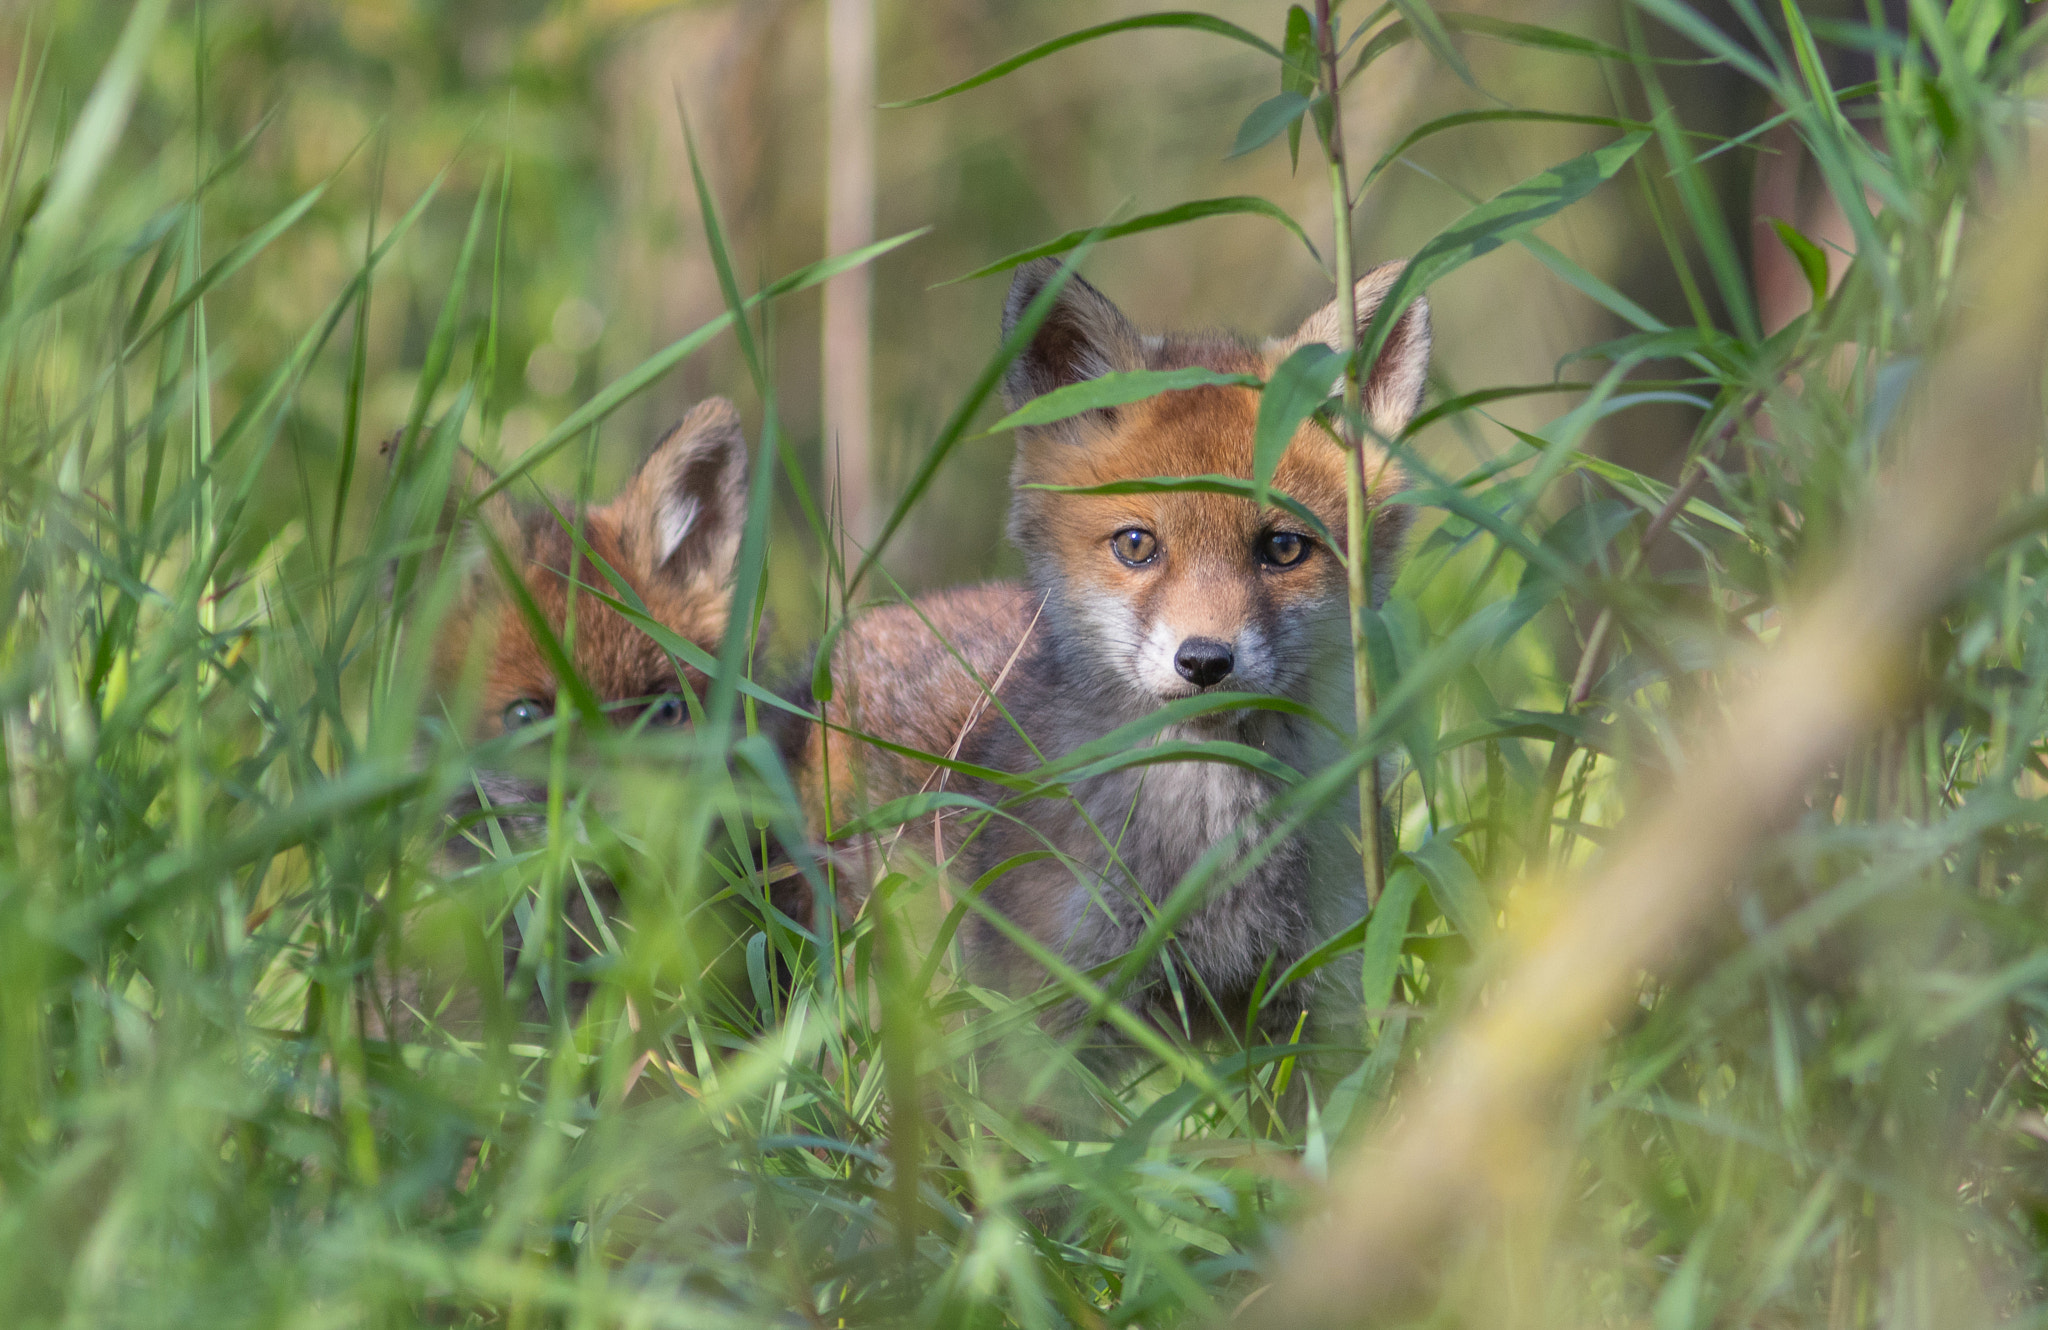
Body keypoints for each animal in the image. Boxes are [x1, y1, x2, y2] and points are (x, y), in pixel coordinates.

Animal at [806, 257, 1433, 1049]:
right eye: (1137, 544)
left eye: (1285, 549)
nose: (1206, 662)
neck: (1207, 862)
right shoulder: (1052, 1013)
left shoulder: (1318, 996)